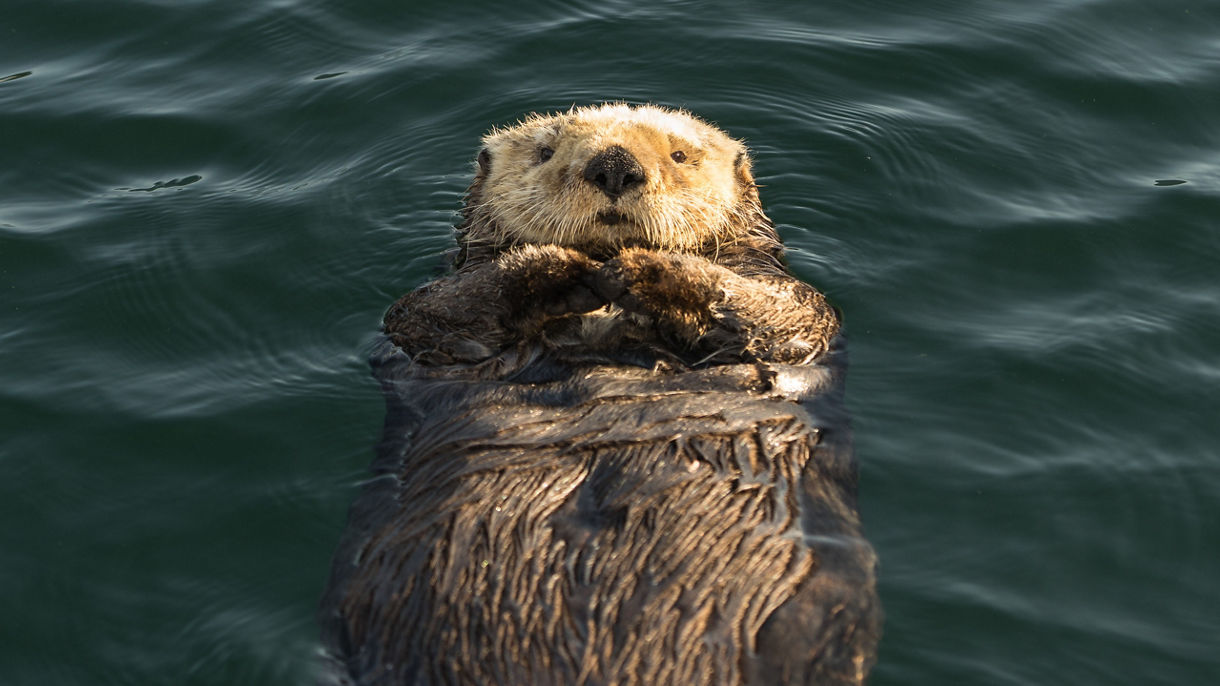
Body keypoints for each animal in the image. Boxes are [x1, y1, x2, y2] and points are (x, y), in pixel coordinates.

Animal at [319, 103, 880, 685]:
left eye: (681, 154)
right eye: (545, 151)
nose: (614, 166)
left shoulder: (800, 318)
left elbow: (777, 313)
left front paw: (646, 268)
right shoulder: (424, 331)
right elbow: (427, 311)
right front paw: (560, 266)